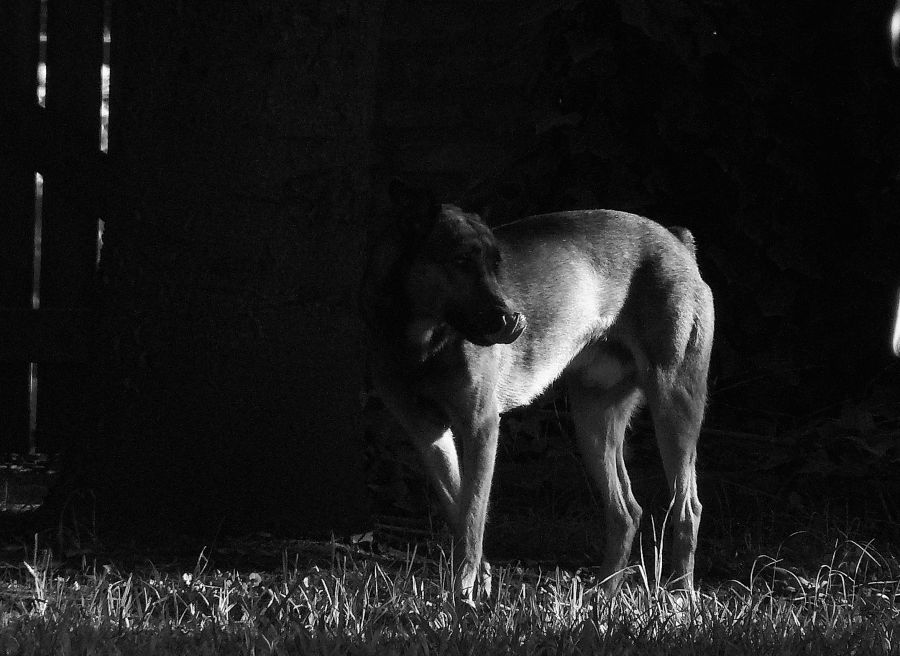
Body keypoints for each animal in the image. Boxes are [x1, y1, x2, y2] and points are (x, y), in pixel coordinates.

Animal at [362, 178, 712, 596]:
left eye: (497, 265)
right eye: (460, 261)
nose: (515, 320)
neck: (421, 341)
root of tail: (678, 241)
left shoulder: (480, 426)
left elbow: (473, 517)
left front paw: (464, 594)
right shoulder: (427, 432)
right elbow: (459, 509)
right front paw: (478, 583)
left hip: (674, 404)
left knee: (687, 508)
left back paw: (680, 595)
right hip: (593, 419)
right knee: (626, 511)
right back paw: (603, 597)